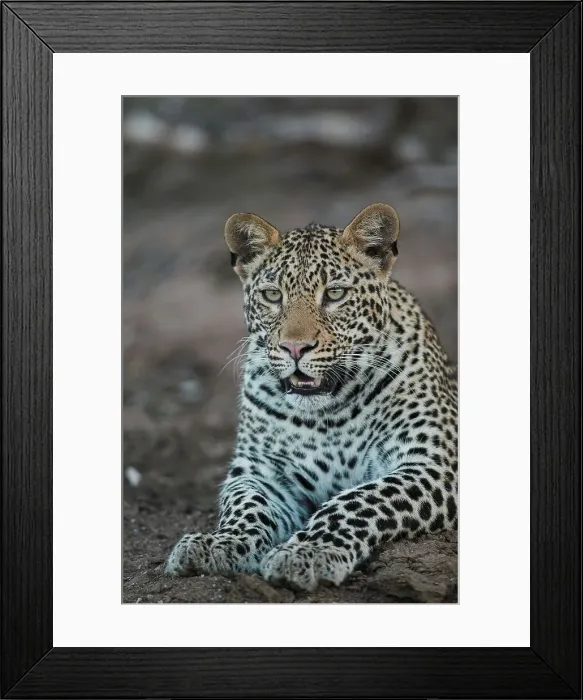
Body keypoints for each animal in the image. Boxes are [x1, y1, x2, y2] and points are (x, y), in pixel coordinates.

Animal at [165, 203, 458, 592]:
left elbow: (356, 500)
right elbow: (246, 506)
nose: (294, 348)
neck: (328, 414)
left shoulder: (432, 464)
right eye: (273, 296)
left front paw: (309, 551)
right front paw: (221, 542)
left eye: (334, 294)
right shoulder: (261, 472)